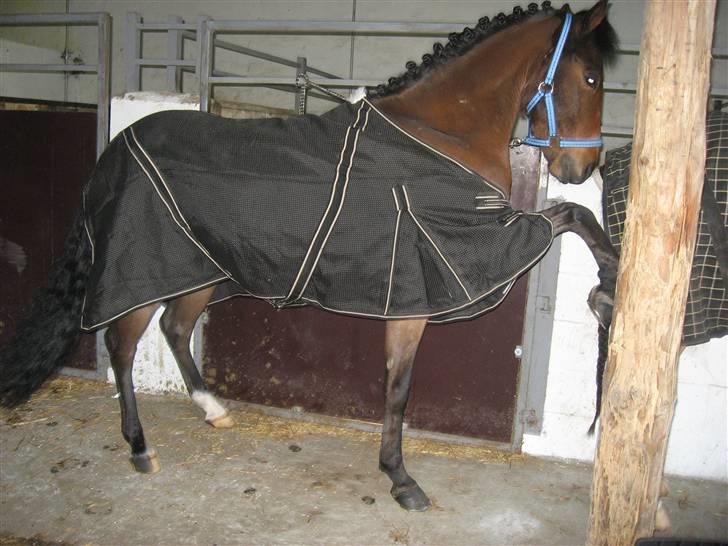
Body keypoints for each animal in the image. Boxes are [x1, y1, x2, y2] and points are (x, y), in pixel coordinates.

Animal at [0, 0, 618, 512]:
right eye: (591, 77)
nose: (583, 167)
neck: (438, 135)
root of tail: (116, 148)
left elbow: (570, 215)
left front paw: (610, 283)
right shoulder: (451, 260)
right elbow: (401, 385)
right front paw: (402, 481)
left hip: (201, 271)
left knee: (175, 328)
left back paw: (213, 409)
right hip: (144, 274)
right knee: (121, 345)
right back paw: (139, 447)